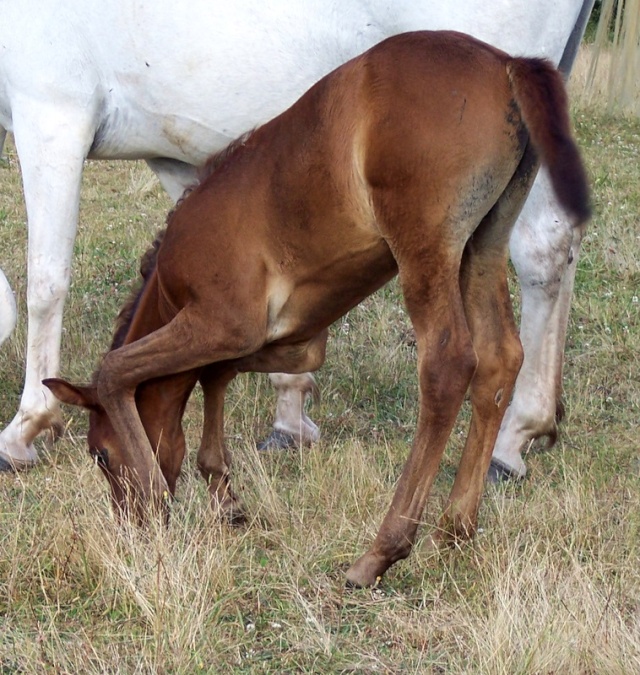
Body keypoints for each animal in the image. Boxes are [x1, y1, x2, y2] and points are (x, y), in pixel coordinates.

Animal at [43, 30, 592, 588]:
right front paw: (225, 494)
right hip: (482, 244)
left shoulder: (223, 322)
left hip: (426, 250)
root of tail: (507, 64)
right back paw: (455, 528)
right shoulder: (293, 339)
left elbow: (117, 371)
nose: (132, 526)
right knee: (500, 358)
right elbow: (217, 373)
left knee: (448, 365)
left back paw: (381, 551)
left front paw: (160, 493)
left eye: (101, 454)